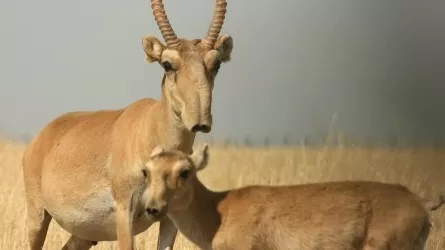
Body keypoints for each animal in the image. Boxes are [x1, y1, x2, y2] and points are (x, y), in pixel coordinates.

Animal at [21, 0, 232, 249]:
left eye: (216, 63)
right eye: (167, 64)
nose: (200, 121)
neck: (151, 126)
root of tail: (41, 138)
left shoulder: (170, 219)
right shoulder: (125, 212)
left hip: (84, 235)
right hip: (38, 218)